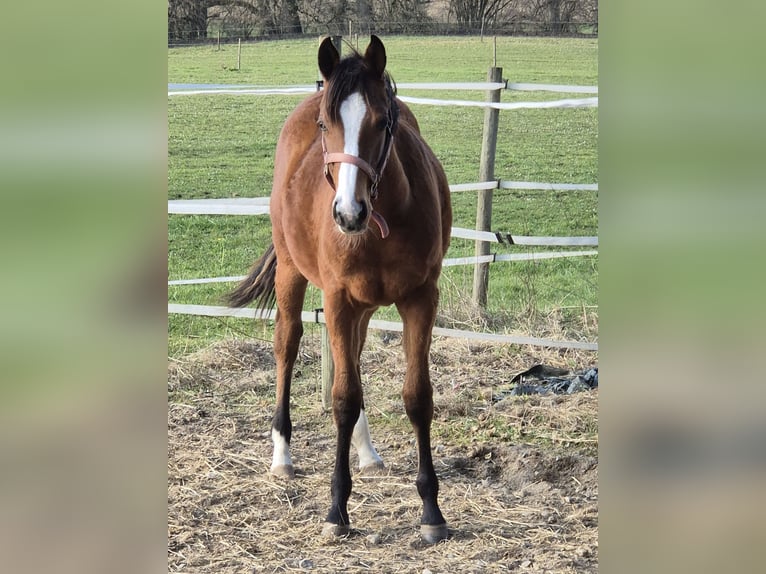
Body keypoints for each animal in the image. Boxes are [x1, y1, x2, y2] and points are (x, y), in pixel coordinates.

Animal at [227, 35, 452, 544]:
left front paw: (431, 510)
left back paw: (366, 452)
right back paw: (282, 456)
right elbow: (343, 398)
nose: (349, 213)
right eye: (325, 124)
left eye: (382, 120)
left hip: (364, 306)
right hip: (293, 273)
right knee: (287, 344)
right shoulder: (336, 299)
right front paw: (337, 508)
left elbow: (417, 397)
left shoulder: (420, 298)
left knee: (356, 354)